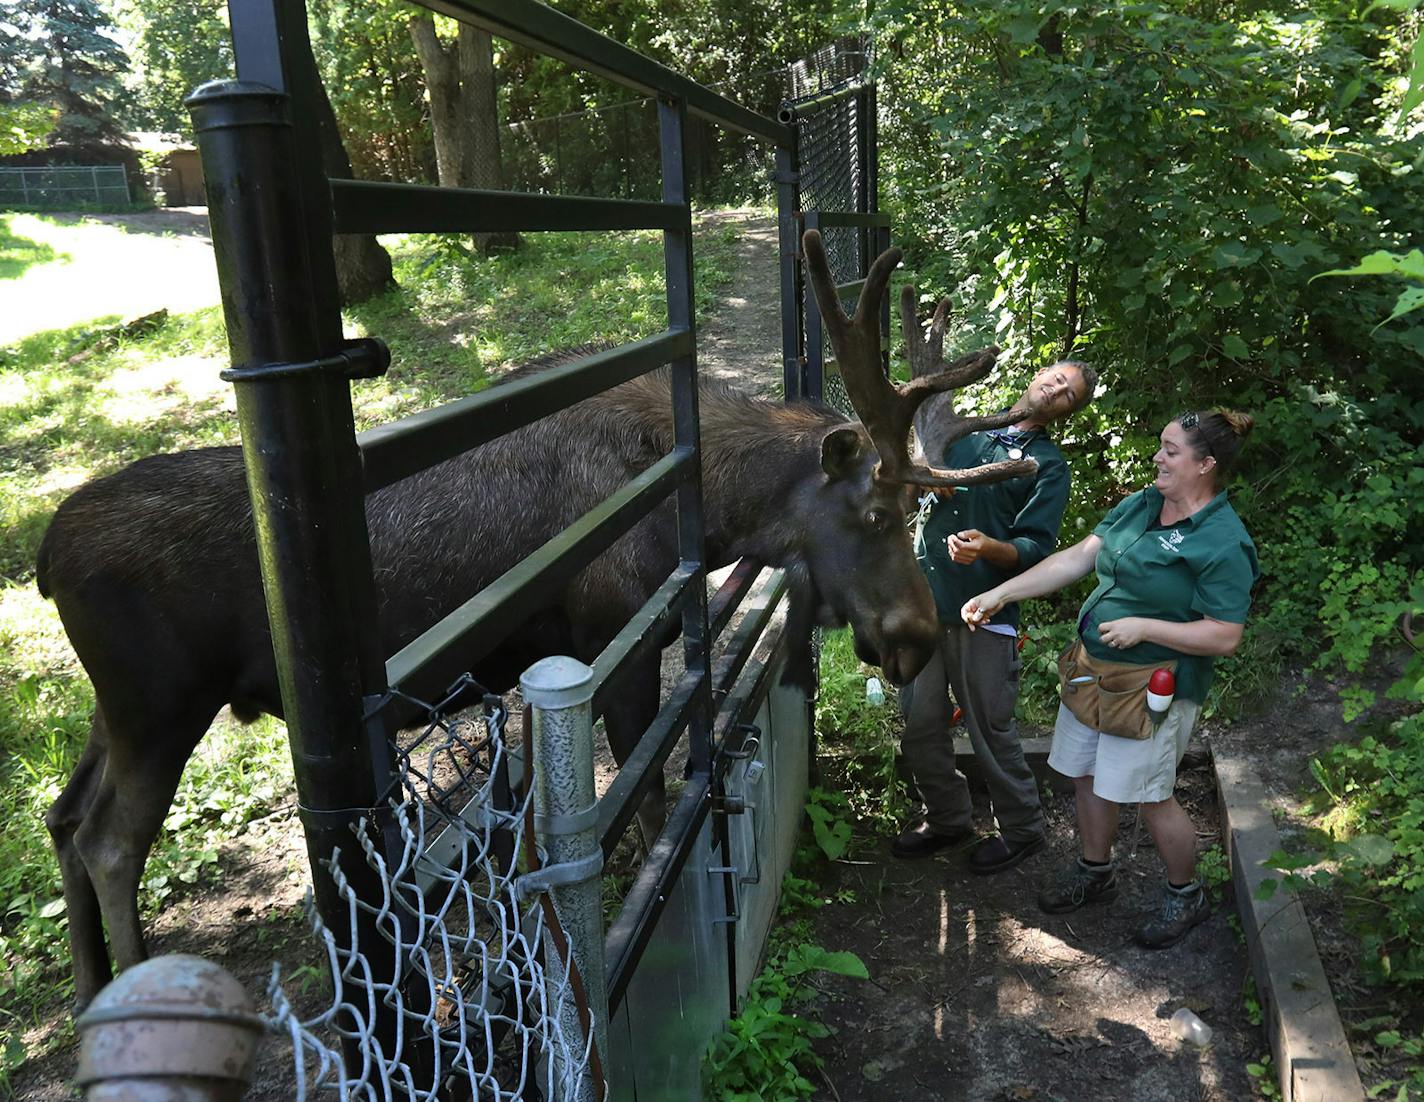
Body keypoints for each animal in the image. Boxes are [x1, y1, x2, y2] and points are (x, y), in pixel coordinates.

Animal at [38, 233, 1042, 1008]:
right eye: (875, 512)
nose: (916, 638)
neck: (704, 510)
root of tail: (47, 563)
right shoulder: (613, 644)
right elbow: (644, 806)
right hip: (161, 701)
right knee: (110, 841)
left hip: (116, 709)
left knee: (63, 814)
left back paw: (89, 989)